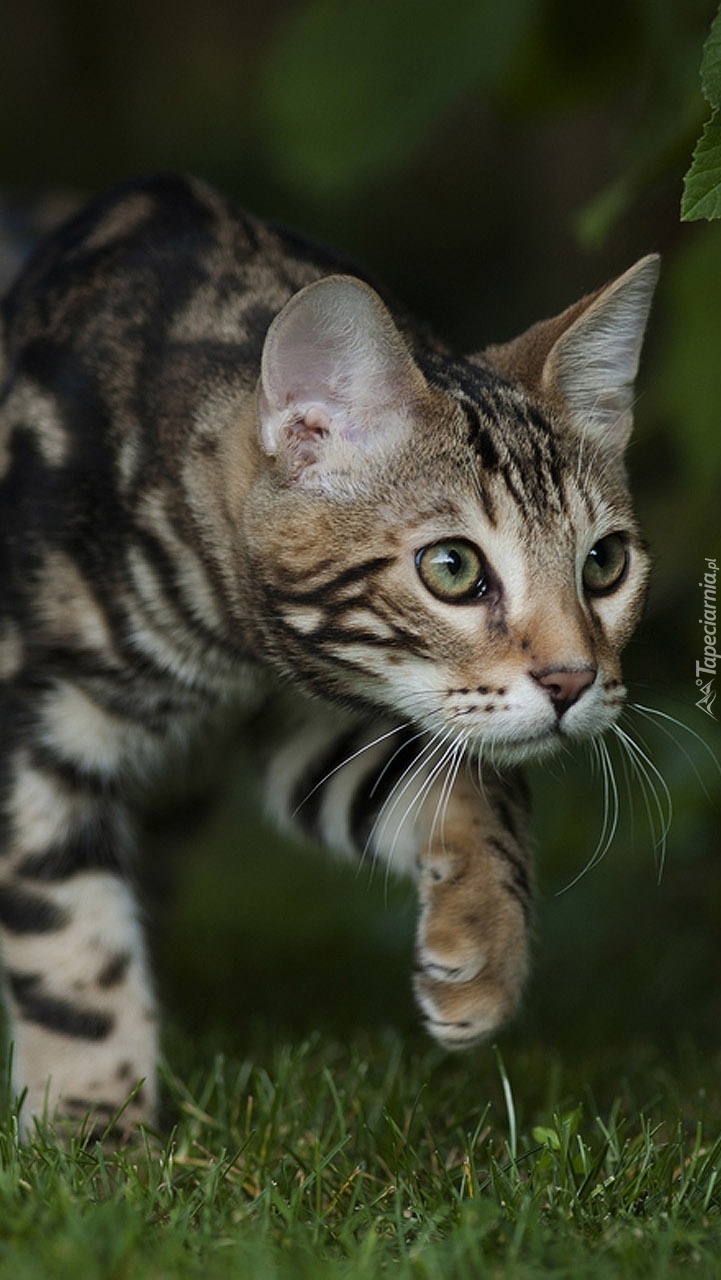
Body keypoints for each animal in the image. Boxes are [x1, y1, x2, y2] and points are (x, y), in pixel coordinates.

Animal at [0, 172, 660, 1141]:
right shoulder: (36, 718)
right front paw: (90, 1131)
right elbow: (67, 941)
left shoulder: (308, 718)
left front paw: (483, 947)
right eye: (452, 568)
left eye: (604, 564)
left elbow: (469, 787)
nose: (573, 681)